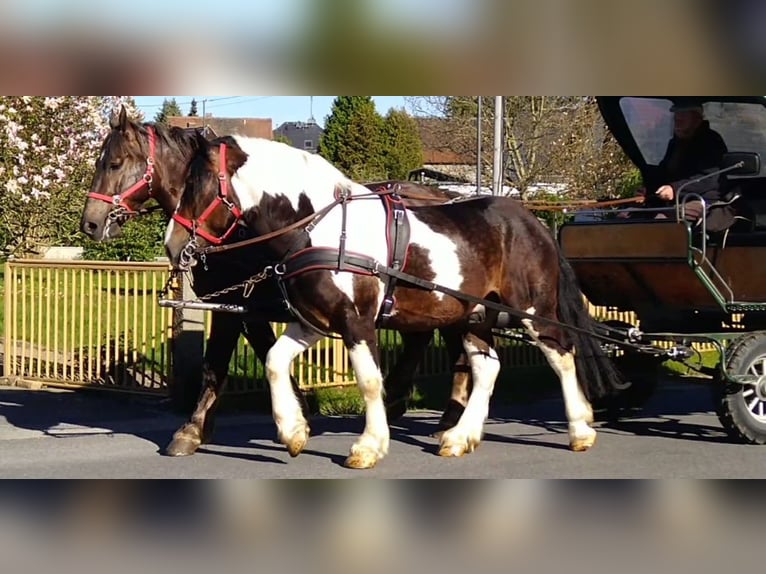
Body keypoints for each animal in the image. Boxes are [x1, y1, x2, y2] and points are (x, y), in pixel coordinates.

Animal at [79, 107, 471, 458]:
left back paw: (441, 418)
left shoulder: (239, 306)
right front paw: (295, 415)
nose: (90, 223)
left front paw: (193, 429)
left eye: (114, 163)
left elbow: (217, 363)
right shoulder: (244, 306)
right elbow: (262, 352)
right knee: (430, 340)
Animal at [165, 134, 627, 470]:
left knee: (561, 355)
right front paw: (293, 432)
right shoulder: (314, 321)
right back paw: (460, 437)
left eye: (198, 185)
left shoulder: (357, 322)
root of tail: (534, 221)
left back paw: (580, 431)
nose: (171, 244)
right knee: (487, 367)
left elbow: (370, 381)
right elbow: (275, 362)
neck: (322, 227)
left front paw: (368, 446)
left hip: (531, 311)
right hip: (475, 315)